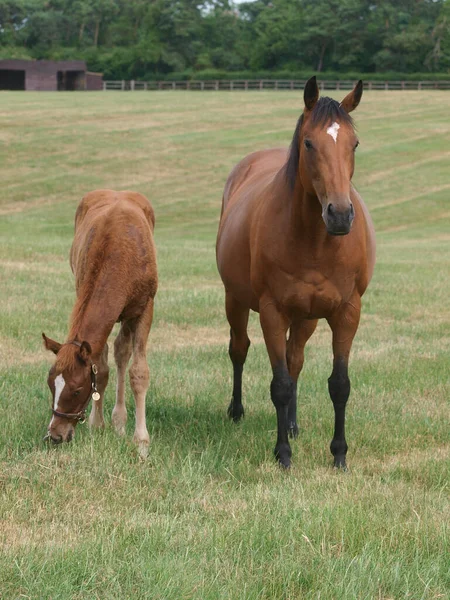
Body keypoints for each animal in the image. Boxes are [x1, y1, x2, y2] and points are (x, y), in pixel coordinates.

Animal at [42, 190, 157, 458]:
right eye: (51, 385)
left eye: (76, 390)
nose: (55, 435)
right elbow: (100, 369)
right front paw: (97, 425)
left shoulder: (144, 308)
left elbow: (138, 372)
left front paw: (141, 442)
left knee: (122, 352)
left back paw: (120, 422)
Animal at [217, 77, 376, 468]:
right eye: (309, 143)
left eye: (354, 143)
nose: (340, 214)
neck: (315, 242)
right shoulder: (272, 312)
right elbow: (280, 385)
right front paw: (283, 455)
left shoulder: (347, 312)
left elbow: (338, 384)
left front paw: (339, 455)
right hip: (235, 301)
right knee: (239, 350)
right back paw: (237, 411)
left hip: (306, 317)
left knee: (295, 360)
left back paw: (291, 425)